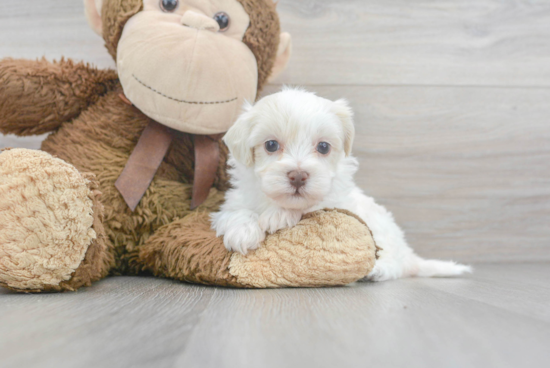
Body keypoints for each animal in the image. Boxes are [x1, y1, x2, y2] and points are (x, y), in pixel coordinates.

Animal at [212, 88, 474, 282]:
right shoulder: (236, 199)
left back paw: (378, 270)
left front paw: (279, 214)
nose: (298, 176)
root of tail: (410, 255)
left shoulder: (335, 201)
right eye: (271, 145)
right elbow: (236, 211)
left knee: (395, 264)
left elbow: (312, 205)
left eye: (323, 147)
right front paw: (243, 231)